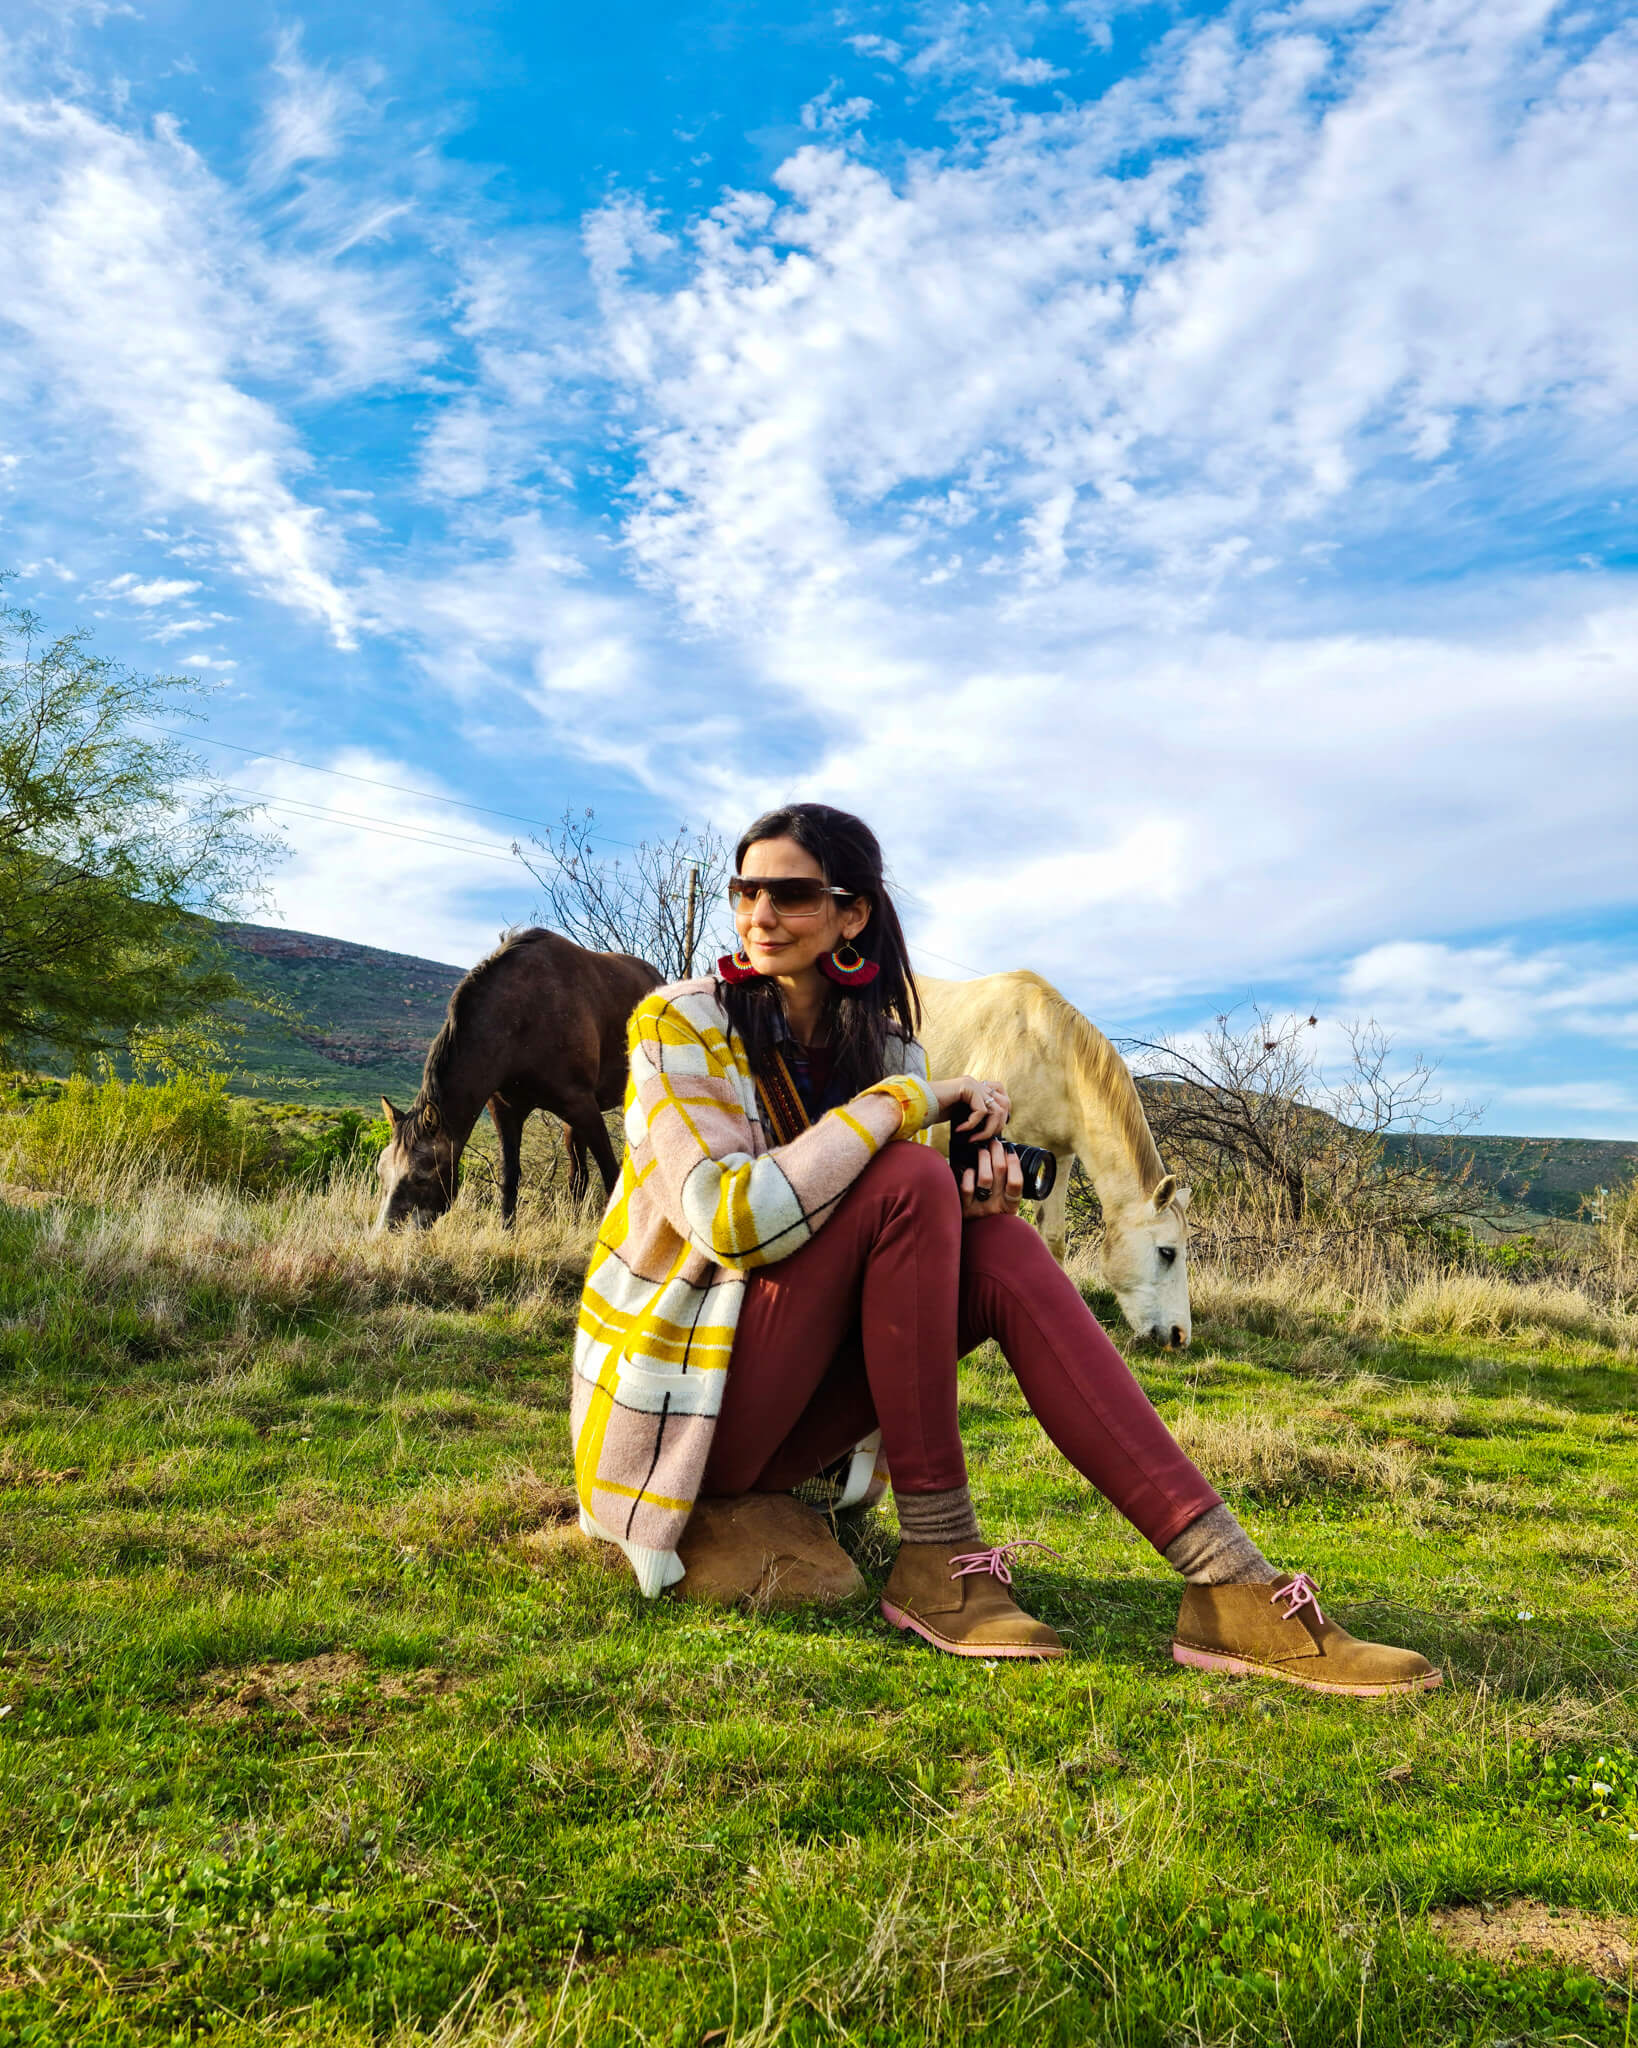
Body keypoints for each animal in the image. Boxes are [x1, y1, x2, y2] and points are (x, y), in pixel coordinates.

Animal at [374, 928, 660, 1231]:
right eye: (381, 1172)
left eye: (420, 1176)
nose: (382, 1234)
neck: (520, 1018)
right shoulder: (507, 1111)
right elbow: (510, 1176)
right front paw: (506, 1231)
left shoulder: (584, 1107)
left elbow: (610, 1173)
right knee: (578, 1173)